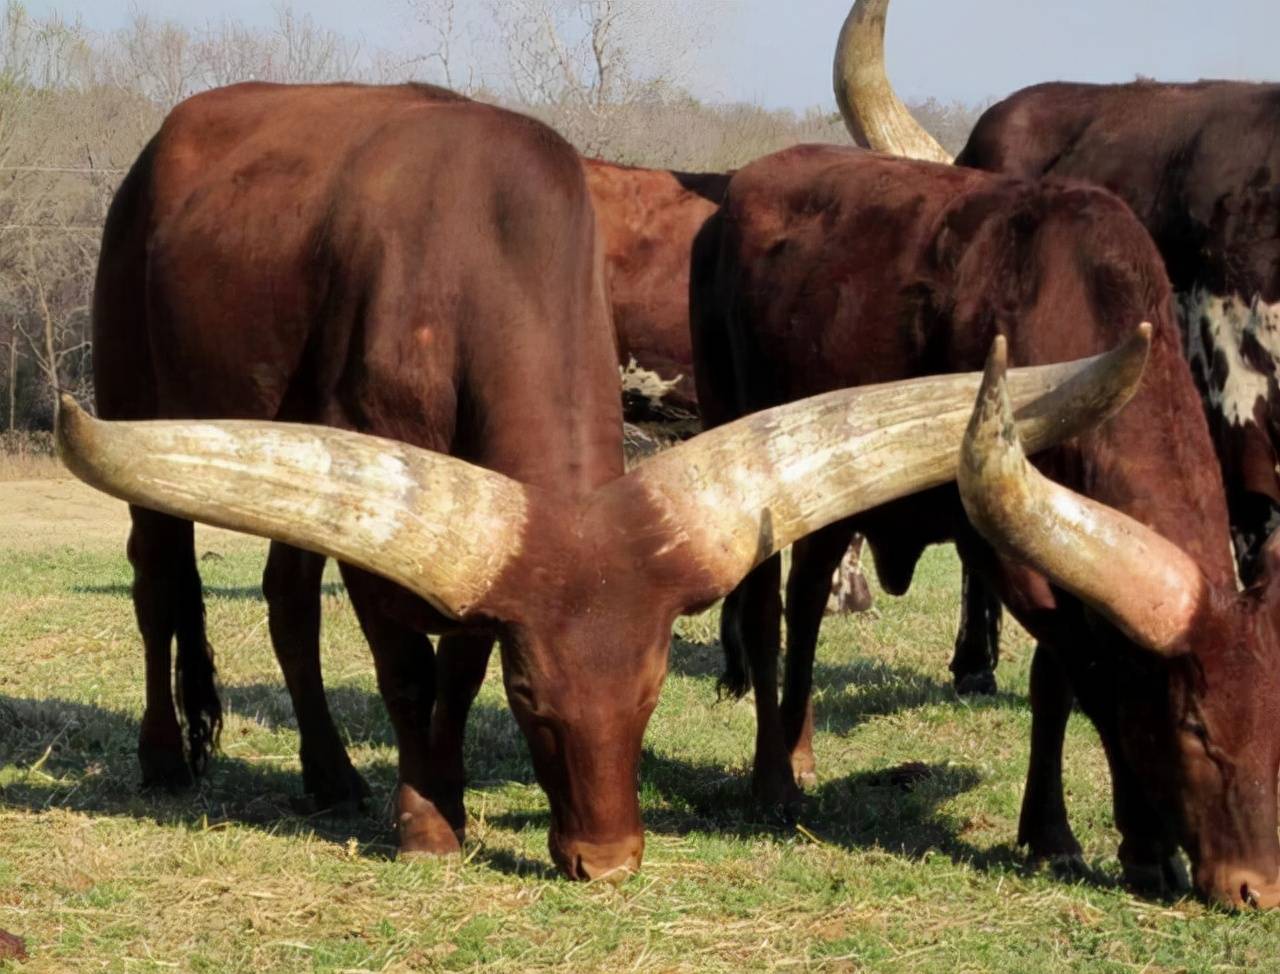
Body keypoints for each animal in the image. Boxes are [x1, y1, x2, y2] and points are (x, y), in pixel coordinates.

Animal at [80, 79, 1141, 875]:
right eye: (535, 703)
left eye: (649, 692)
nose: (609, 860)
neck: (475, 243)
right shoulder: (386, 515)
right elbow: (404, 668)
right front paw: (426, 824)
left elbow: (457, 664)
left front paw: (449, 795)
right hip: (140, 397)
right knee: (157, 582)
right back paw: (165, 755)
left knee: (286, 601)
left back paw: (329, 773)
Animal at [696, 142, 1280, 906]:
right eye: (1194, 727)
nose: (1257, 887)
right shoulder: (1005, 555)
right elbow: (1093, 678)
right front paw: (1145, 845)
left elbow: (1054, 683)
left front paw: (1051, 833)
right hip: (747, 444)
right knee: (767, 612)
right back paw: (774, 782)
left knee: (809, 599)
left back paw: (800, 750)